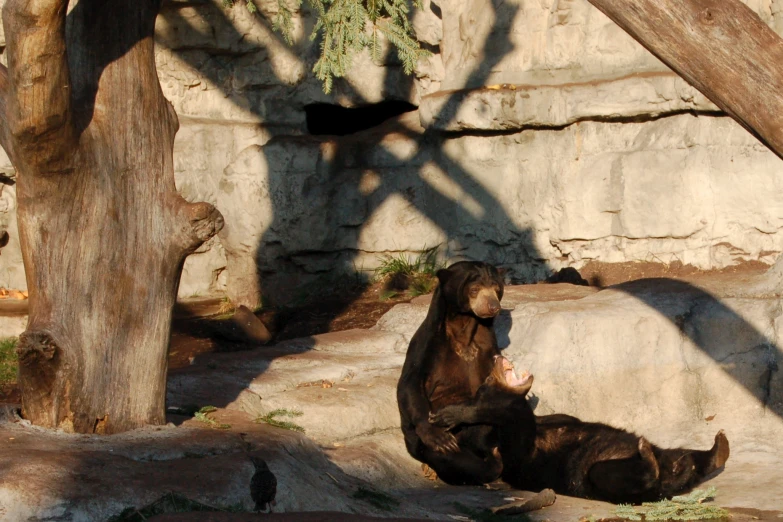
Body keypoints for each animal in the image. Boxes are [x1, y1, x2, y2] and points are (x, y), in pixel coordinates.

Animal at [398, 260, 508, 484]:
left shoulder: (488, 346)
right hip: (421, 446)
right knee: (455, 460)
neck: (465, 328)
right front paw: (438, 436)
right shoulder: (429, 345)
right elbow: (409, 386)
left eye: (496, 288)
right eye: (474, 289)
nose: (493, 307)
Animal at [428, 354, 728, 500]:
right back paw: (650, 458)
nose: (495, 358)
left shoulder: (551, 418)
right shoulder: (509, 446)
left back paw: (716, 449)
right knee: (614, 475)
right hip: (596, 477)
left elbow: (560, 418)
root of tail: (671, 482)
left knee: (686, 456)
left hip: (669, 455)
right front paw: (448, 415)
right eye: (486, 380)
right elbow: (510, 423)